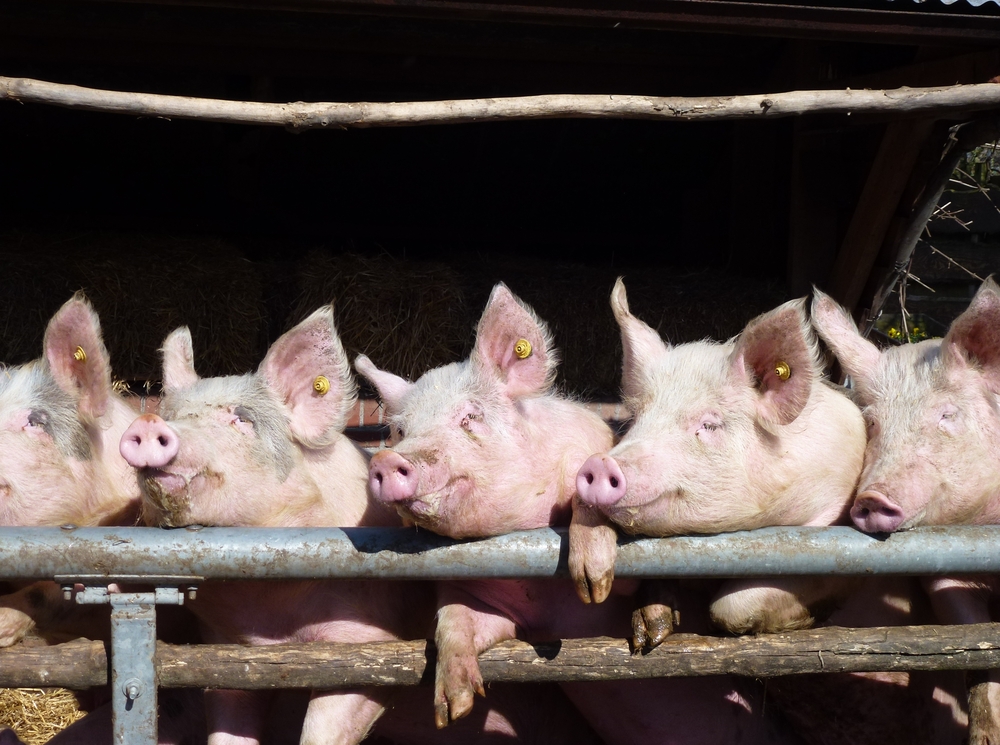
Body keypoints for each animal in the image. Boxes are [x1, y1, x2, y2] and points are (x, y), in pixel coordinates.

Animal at [119, 304, 598, 745]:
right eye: (171, 412)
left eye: (242, 419)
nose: (149, 423)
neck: (270, 619)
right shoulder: (224, 655)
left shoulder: (367, 644)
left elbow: (323, 728)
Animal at [359, 283, 796, 745]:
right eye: (401, 430)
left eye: (470, 416)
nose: (386, 460)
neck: (540, 600)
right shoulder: (489, 605)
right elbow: (454, 621)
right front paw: (453, 707)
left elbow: (594, 498)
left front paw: (604, 592)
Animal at [811, 278, 1000, 745]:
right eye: (872, 422)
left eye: (948, 414)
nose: (872, 498)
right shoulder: (945, 582)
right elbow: (978, 654)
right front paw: (985, 737)